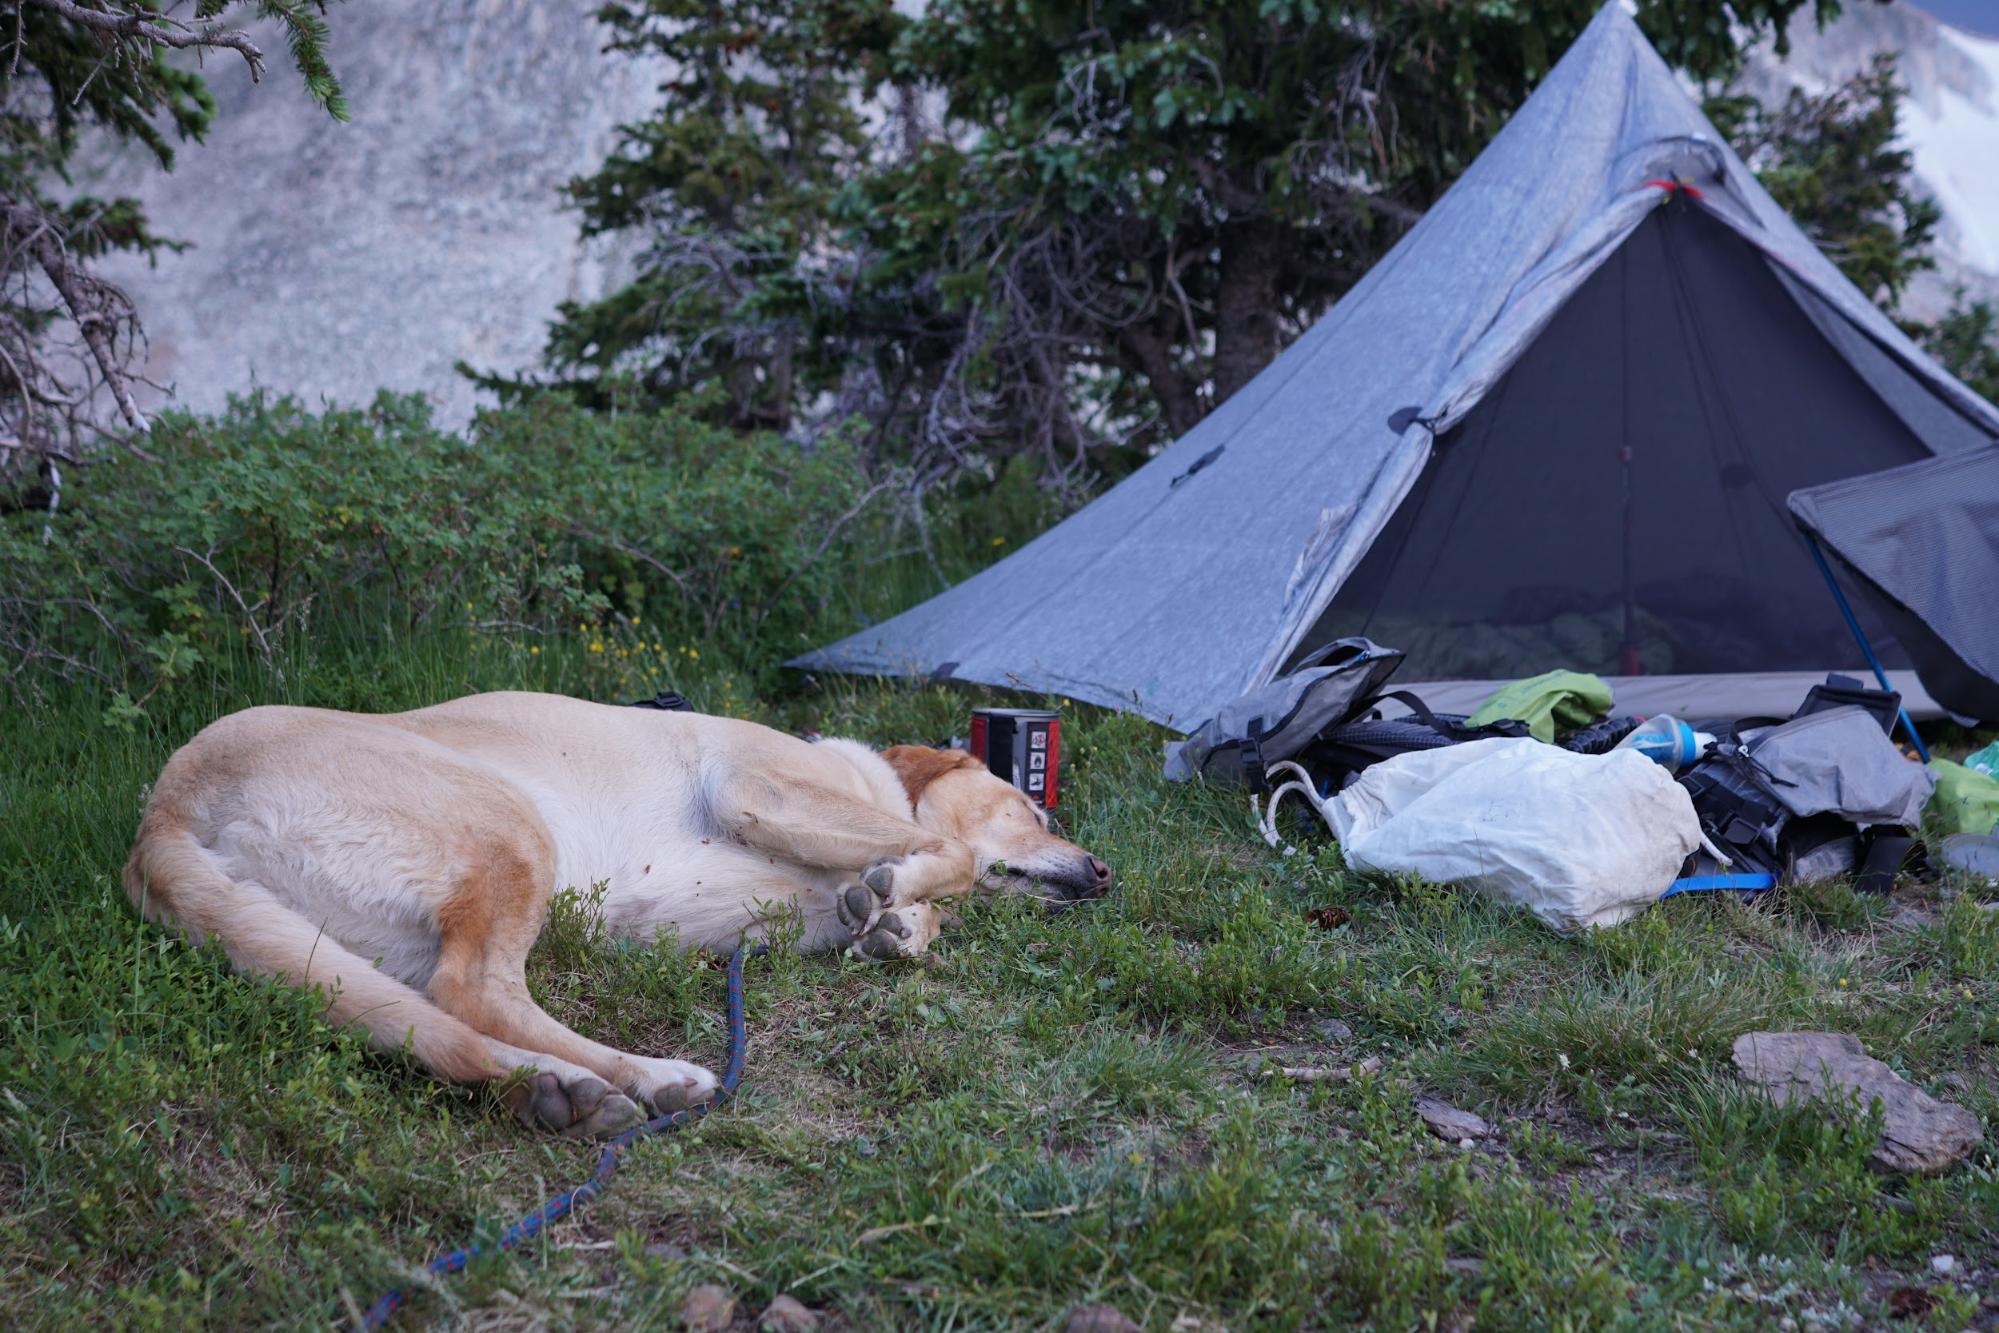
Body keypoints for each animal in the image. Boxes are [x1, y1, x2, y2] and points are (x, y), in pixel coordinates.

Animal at [126, 695, 1119, 1143]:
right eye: (1035, 810)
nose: (1105, 874)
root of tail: (164, 811)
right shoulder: (763, 788)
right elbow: (950, 855)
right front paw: (905, 888)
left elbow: (915, 898)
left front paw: (898, 922)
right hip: (511, 831)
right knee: (475, 991)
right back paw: (645, 1077)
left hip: (349, 953)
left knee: (437, 1020)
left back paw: (563, 1090)